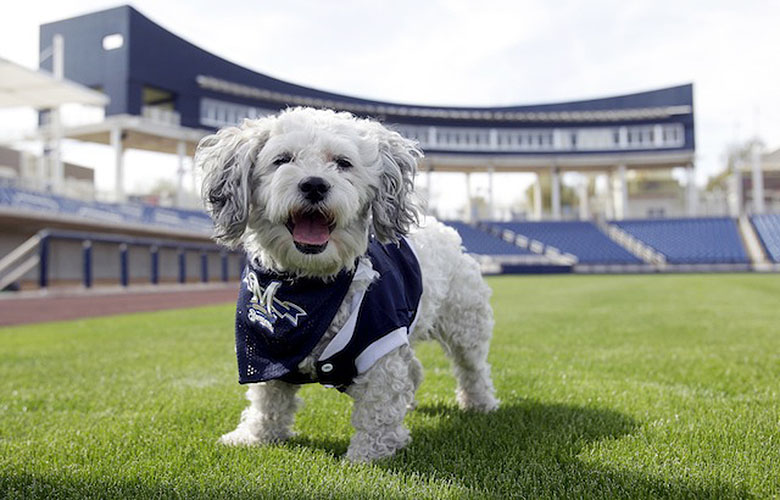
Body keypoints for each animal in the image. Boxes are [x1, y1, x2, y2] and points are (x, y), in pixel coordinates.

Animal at [197, 107, 500, 462]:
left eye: (342, 163)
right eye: (282, 159)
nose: (314, 184)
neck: (312, 284)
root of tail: (444, 230)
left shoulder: (380, 344)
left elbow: (378, 408)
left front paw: (367, 456)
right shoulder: (263, 351)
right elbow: (267, 401)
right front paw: (254, 436)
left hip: (465, 324)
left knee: (473, 368)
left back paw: (480, 403)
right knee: (415, 369)